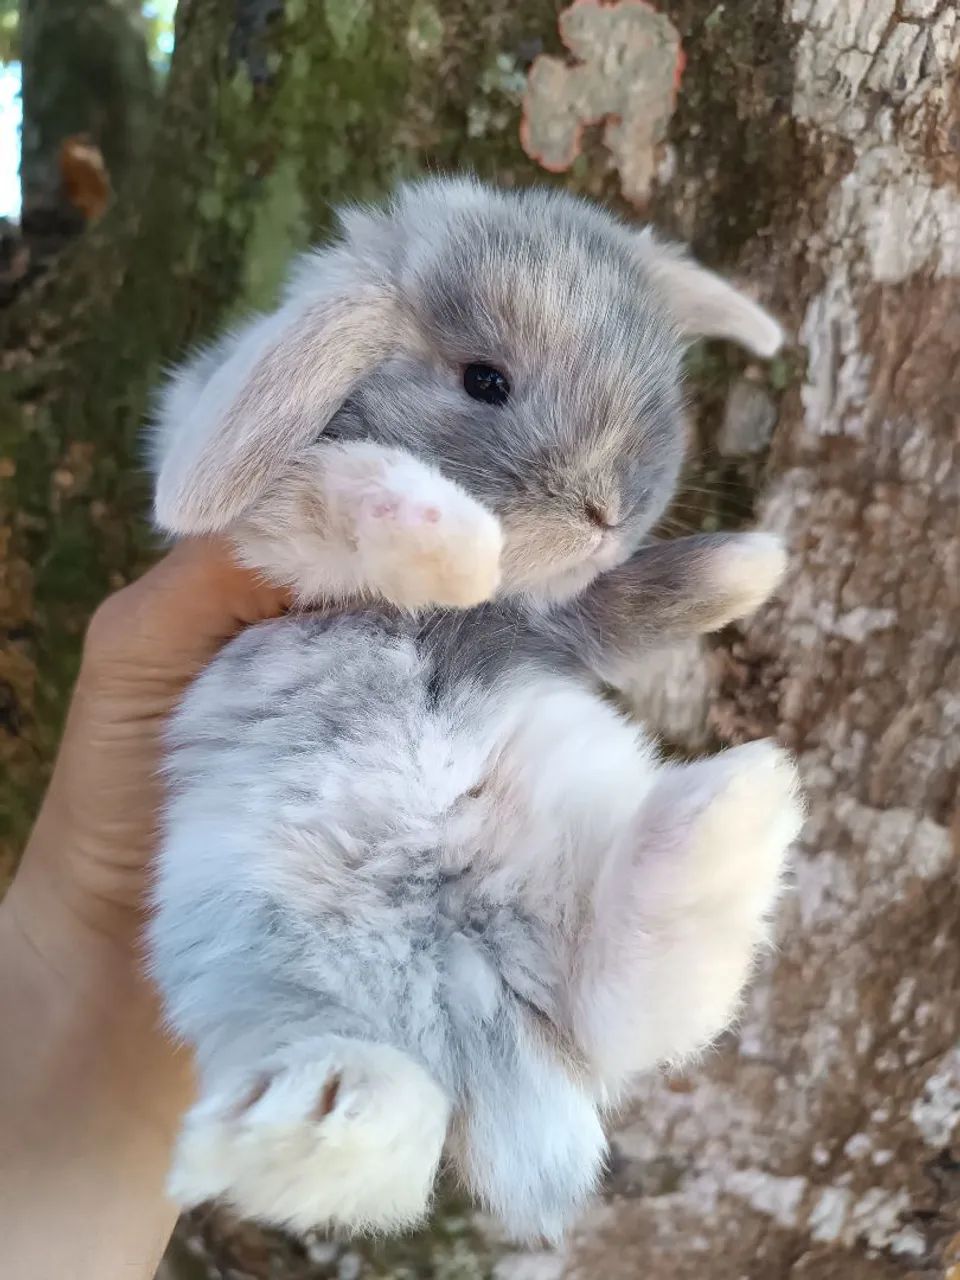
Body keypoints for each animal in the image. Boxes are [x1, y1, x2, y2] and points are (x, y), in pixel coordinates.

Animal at [147, 178, 803, 1243]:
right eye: (484, 381)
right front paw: (446, 534)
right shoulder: (261, 516)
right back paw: (313, 1120)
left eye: (656, 382)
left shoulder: (569, 621)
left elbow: (614, 607)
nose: (607, 513)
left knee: (621, 1006)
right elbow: (324, 494)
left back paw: (727, 822)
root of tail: (471, 1000)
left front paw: (753, 564)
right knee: (388, 1136)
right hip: (261, 963)